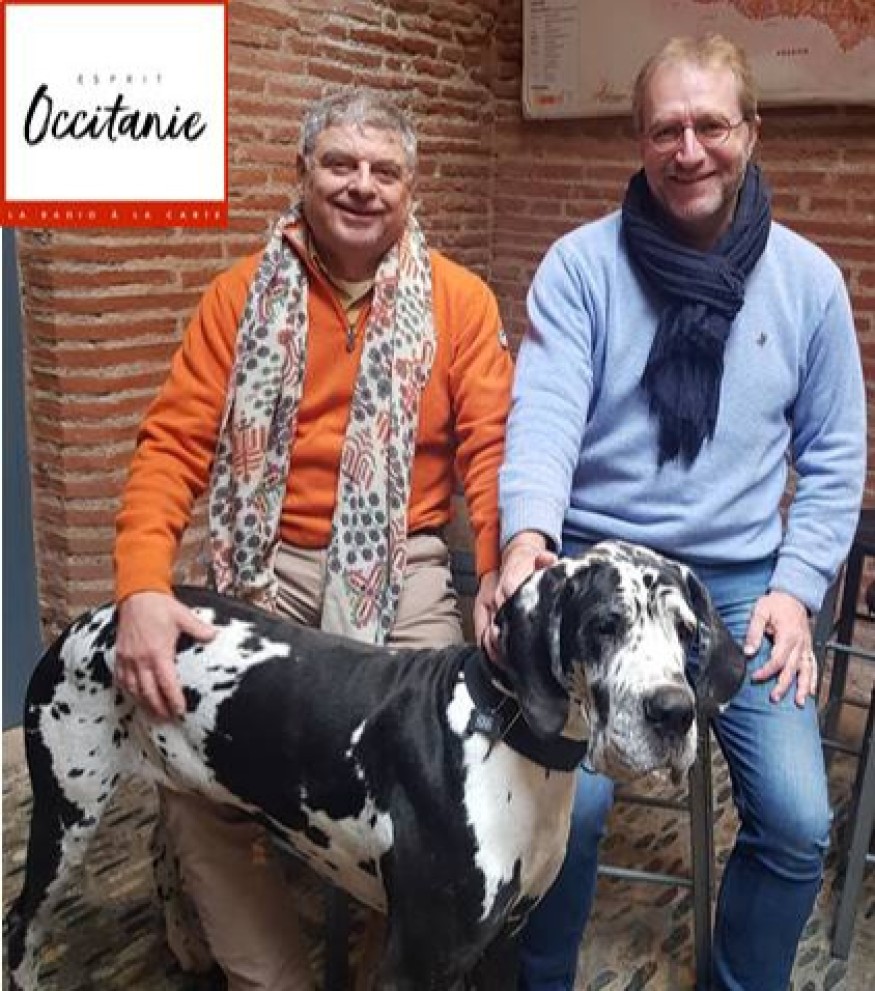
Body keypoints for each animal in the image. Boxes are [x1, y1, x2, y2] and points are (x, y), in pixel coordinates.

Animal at [5, 540, 746, 991]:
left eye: (687, 632)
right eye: (603, 625)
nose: (673, 712)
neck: (504, 740)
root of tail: (98, 614)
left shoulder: (501, 941)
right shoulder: (420, 959)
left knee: (162, 844)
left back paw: (185, 942)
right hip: (65, 815)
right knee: (23, 921)